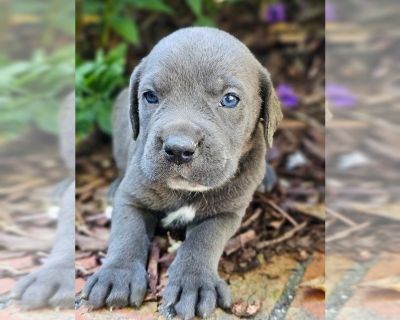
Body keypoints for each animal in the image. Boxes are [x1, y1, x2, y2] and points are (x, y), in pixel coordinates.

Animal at [81, 26, 282, 318]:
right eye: (150, 96)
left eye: (229, 99)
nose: (178, 149)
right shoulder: (131, 199)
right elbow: (127, 233)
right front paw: (117, 275)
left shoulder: (227, 213)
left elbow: (203, 240)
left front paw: (193, 283)